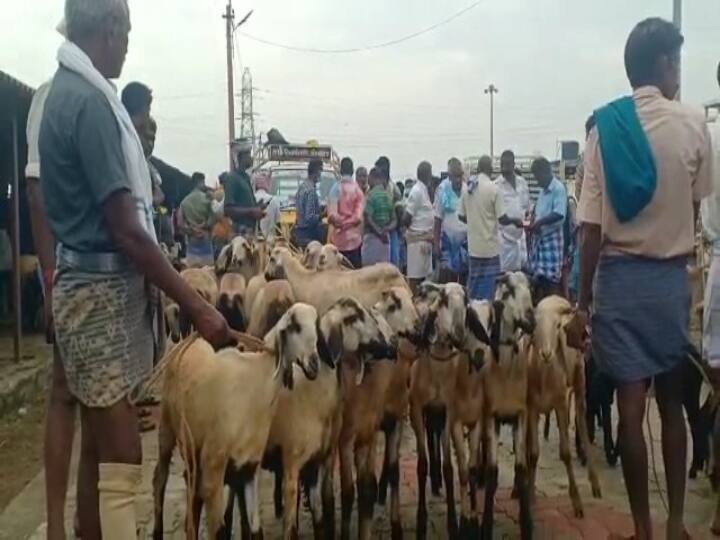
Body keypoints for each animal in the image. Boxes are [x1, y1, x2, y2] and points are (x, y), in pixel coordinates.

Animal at [153, 304, 324, 540]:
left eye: (316, 326)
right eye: (294, 326)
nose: (314, 365)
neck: (256, 384)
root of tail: (189, 342)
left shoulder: (249, 466)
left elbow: (256, 529)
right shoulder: (213, 467)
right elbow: (218, 531)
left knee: (190, 490)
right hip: (167, 427)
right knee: (159, 479)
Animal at [528, 296, 600, 520]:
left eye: (557, 326)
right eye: (535, 326)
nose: (546, 353)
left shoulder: (560, 404)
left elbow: (566, 454)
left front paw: (577, 502)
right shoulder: (531, 408)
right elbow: (533, 453)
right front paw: (528, 494)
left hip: (579, 380)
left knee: (582, 423)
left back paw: (594, 482)